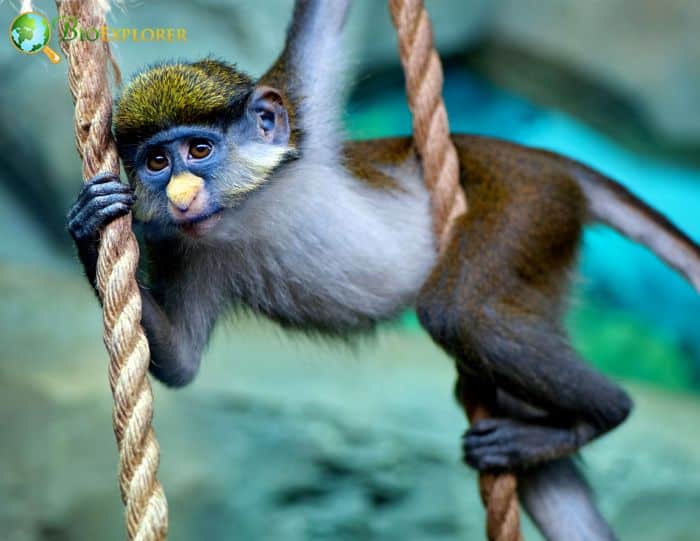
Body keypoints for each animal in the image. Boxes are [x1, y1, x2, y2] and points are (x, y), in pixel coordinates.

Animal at [66, 1, 700, 539]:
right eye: (156, 161)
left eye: (198, 151)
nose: (180, 194)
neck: (251, 207)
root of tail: (542, 160)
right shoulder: (184, 246)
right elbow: (180, 361)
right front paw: (89, 226)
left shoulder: (299, 114)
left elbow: (324, 19)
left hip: (524, 208)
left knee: (459, 313)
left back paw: (602, 414)